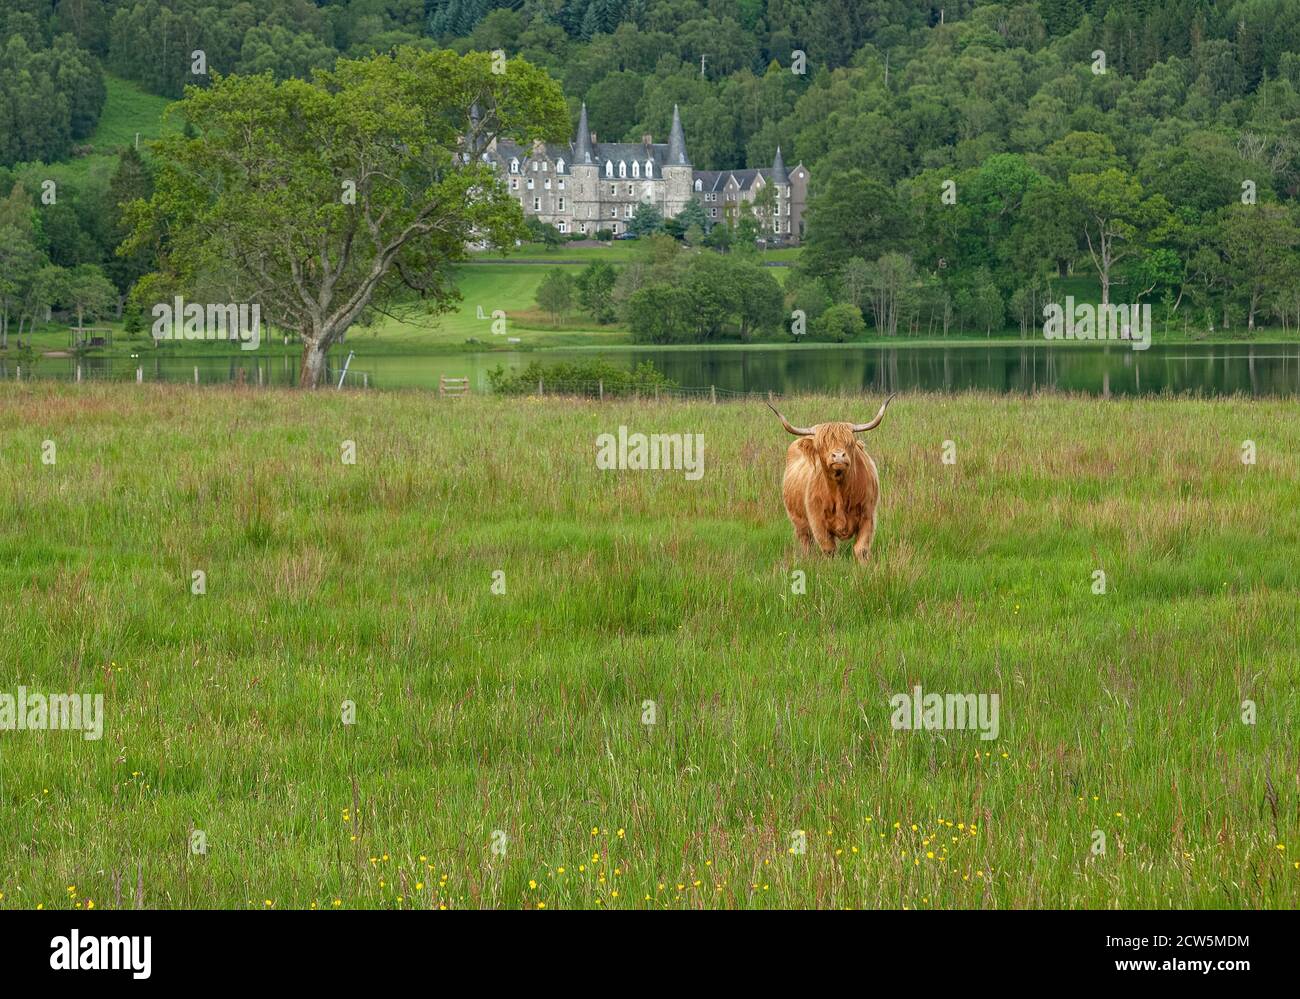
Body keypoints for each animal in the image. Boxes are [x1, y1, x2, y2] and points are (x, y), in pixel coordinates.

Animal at [765, 394, 894, 562]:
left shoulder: (868, 515)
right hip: (798, 521)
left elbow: (861, 549)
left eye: (849, 443)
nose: (838, 456)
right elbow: (829, 549)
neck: (840, 492)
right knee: (806, 541)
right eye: (821, 445)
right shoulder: (817, 521)